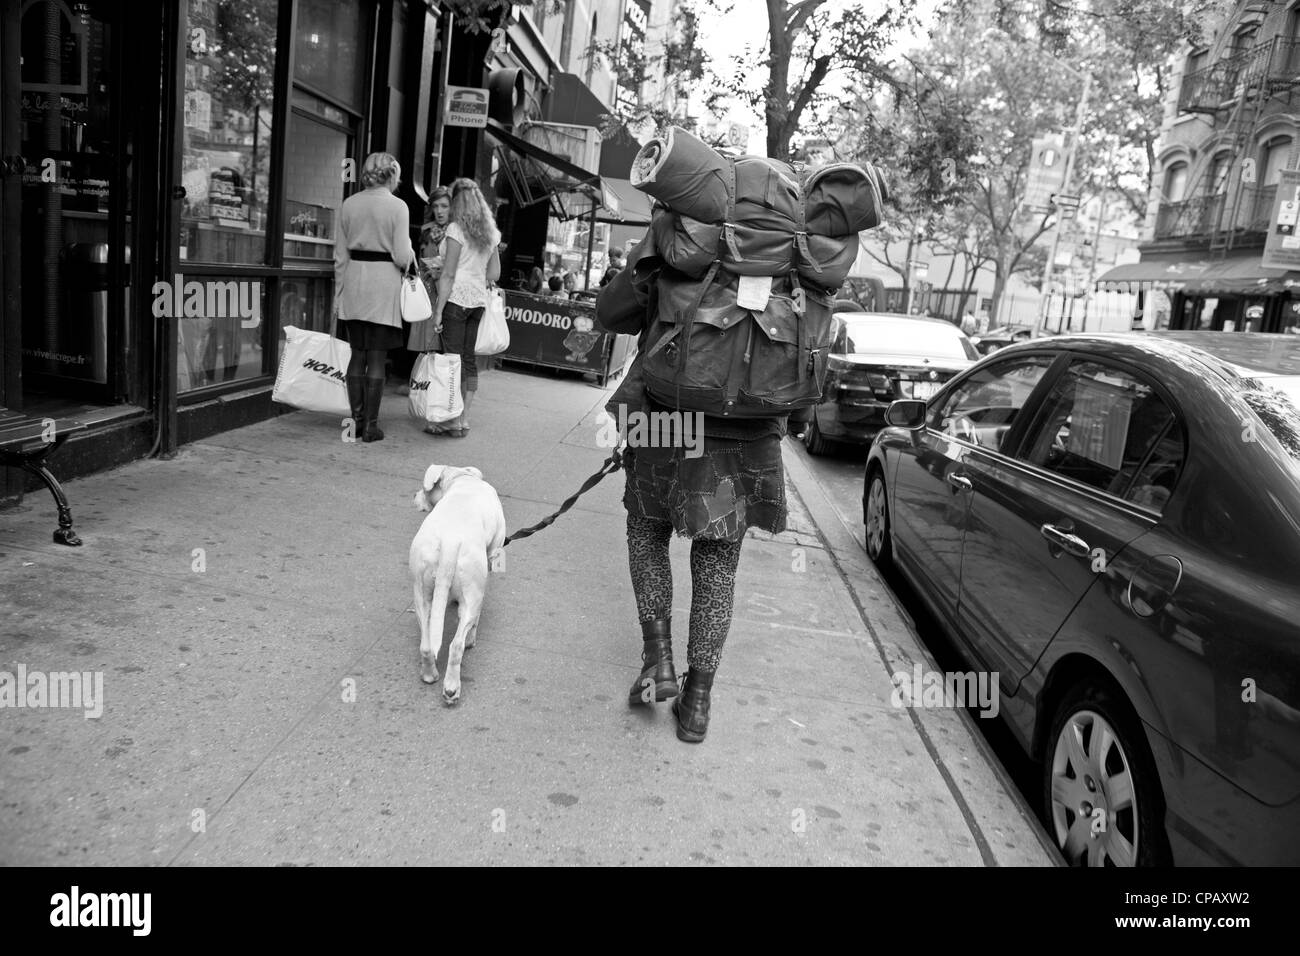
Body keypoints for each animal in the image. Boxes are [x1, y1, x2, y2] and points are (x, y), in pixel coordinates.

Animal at [408, 463, 504, 702]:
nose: (413, 495)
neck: (462, 479)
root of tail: (449, 542)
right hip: (472, 592)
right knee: (457, 645)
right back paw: (452, 687)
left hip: (421, 594)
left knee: (426, 644)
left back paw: (429, 675)